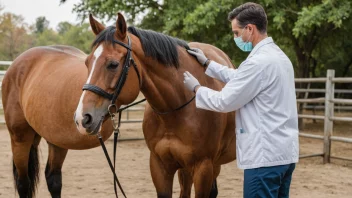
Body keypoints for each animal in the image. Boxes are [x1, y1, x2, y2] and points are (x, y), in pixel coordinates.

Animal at [74, 13, 238, 197]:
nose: (82, 118)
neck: (177, 110)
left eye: (113, 64)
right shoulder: (160, 166)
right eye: (87, 62)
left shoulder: (203, 167)